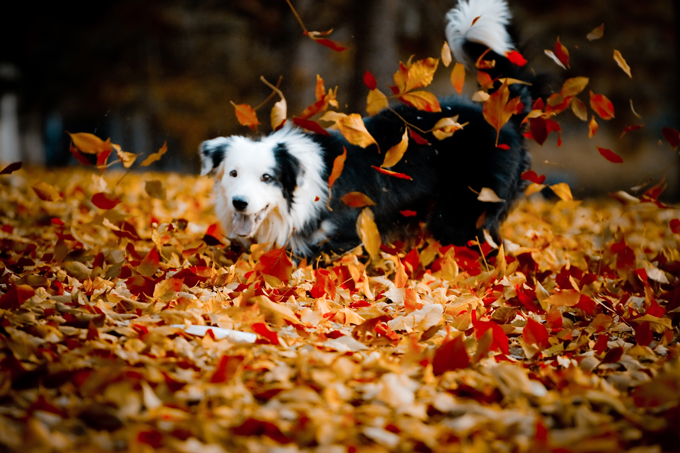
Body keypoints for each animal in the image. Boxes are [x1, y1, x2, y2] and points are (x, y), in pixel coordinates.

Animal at [199, 0, 532, 260]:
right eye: (233, 173)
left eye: (267, 178)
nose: (239, 202)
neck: (300, 198)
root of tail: (501, 117)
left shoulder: (347, 232)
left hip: (466, 209)